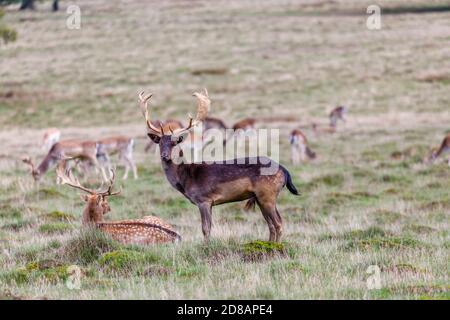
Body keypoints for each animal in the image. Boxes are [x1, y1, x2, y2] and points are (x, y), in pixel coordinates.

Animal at [137, 89, 298, 241]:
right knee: (271, 224)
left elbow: (205, 229)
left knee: (278, 223)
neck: (186, 179)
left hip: (268, 194)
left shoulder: (204, 200)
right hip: (261, 197)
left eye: (174, 143)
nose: (164, 155)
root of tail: (285, 170)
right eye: (160, 143)